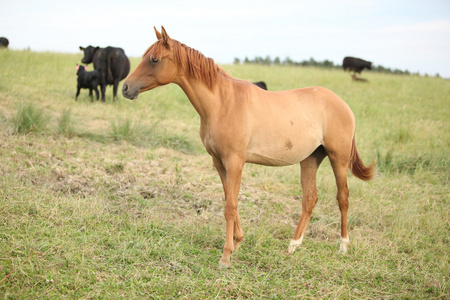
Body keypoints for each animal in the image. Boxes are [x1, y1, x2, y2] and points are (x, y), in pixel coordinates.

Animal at [123, 27, 376, 268]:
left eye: (154, 59)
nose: (126, 87)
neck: (223, 103)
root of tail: (343, 105)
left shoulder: (235, 162)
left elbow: (230, 206)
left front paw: (226, 257)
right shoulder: (219, 162)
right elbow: (230, 200)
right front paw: (237, 242)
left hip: (338, 158)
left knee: (342, 198)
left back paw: (343, 247)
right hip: (310, 159)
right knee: (310, 199)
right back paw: (292, 246)